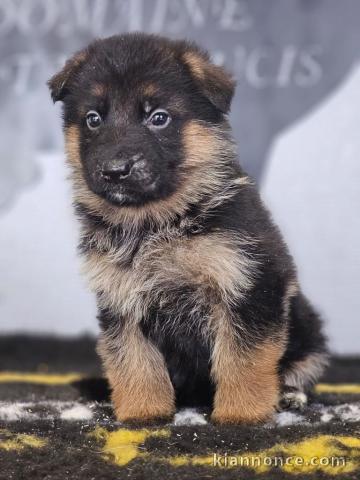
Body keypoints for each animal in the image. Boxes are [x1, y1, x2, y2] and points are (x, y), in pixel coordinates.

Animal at [49, 33, 328, 424]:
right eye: (93, 119)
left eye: (158, 118)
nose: (115, 170)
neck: (159, 221)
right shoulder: (122, 300)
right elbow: (133, 360)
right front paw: (142, 412)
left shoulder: (249, 284)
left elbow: (244, 356)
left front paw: (241, 413)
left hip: (305, 324)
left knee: (301, 365)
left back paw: (289, 395)